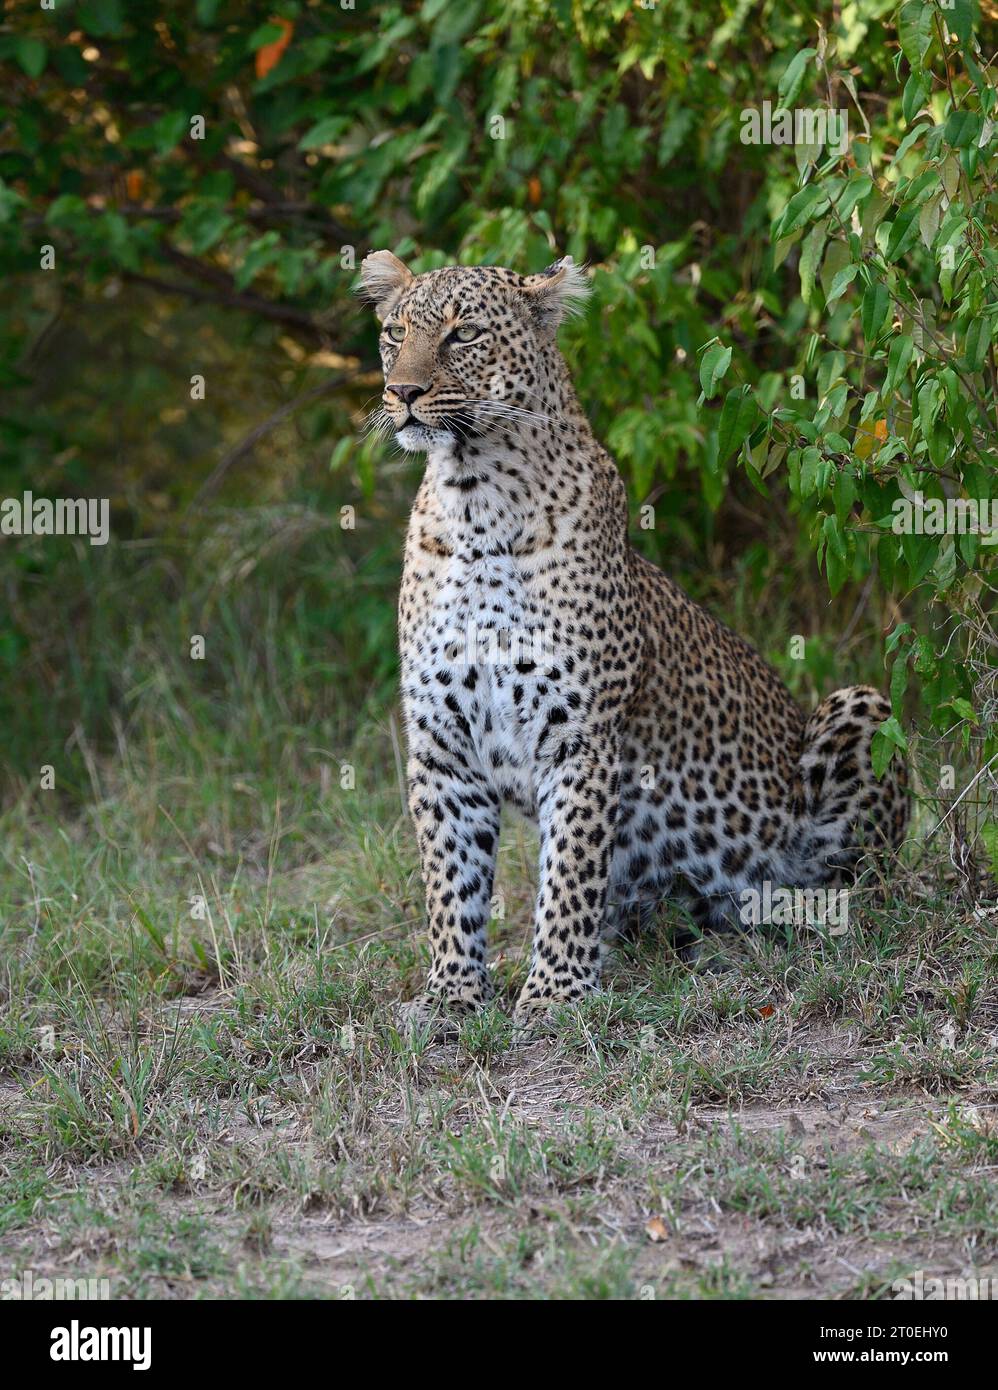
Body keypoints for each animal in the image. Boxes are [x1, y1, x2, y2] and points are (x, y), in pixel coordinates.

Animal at [364, 250, 911, 1034]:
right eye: (394, 332)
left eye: (463, 334)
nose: (402, 392)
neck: (472, 501)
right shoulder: (442, 744)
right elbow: (450, 880)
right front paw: (451, 995)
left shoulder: (580, 738)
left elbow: (569, 874)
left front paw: (554, 994)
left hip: (860, 710)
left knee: (854, 888)